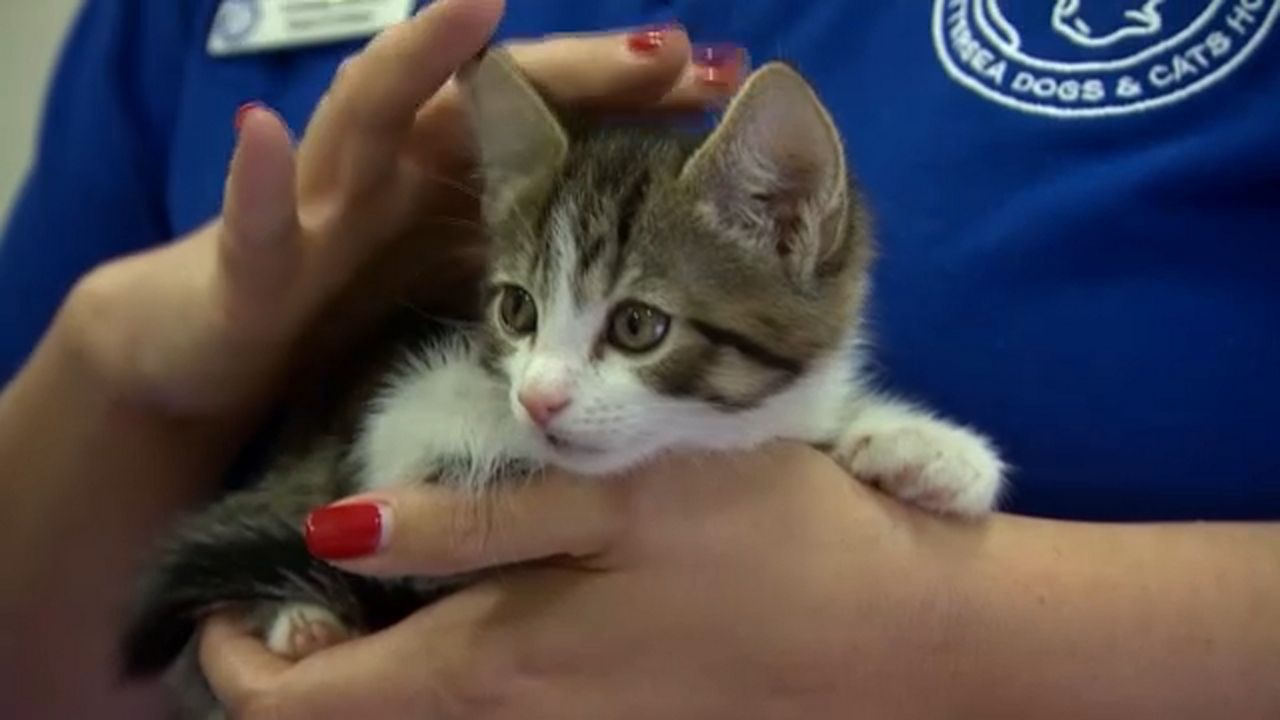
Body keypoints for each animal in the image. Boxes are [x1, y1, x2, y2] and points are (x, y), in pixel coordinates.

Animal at [122, 49, 998, 712]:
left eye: (639, 325)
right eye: (518, 310)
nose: (538, 398)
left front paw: (924, 449)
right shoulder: (401, 407)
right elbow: (415, 440)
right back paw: (303, 618)